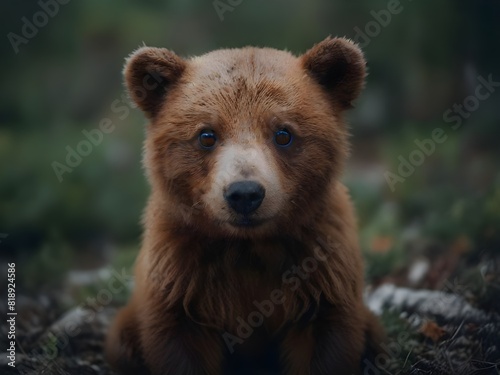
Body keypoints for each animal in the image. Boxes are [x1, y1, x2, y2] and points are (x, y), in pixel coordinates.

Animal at [106, 36, 382, 375]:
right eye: (207, 134)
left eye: (283, 133)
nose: (245, 194)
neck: (247, 246)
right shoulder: (179, 279)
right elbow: (180, 347)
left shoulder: (323, 274)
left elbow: (326, 344)